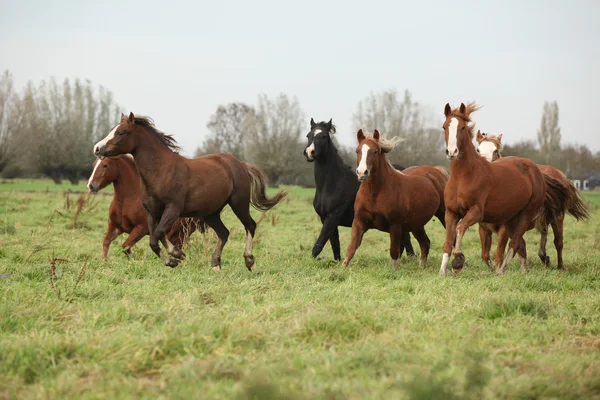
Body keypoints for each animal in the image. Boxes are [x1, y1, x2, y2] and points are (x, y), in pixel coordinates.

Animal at [95, 112, 288, 272]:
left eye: (121, 132)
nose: (97, 148)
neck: (161, 171)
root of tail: (239, 164)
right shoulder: (151, 212)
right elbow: (154, 240)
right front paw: (173, 259)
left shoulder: (173, 209)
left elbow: (159, 233)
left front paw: (177, 255)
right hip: (211, 213)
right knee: (224, 233)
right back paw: (215, 264)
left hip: (238, 204)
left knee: (250, 226)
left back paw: (249, 261)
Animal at [302, 118, 414, 262]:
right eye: (308, 135)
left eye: (324, 136)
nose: (309, 152)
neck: (333, 183)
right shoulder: (326, 218)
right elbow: (335, 245)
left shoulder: (332, 217)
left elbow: (318, 245)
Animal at [340, 130, 448, 270]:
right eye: (357, 151)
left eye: (375, 151)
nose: (362, 173)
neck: (375, 194)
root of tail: (438, 171)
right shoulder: (359, 221)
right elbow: (351, 248)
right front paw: (343, 268)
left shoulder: (395, 225)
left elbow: (394, 252)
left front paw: (395, 271)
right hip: (417, 224)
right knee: (425, 243)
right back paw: (421, 268)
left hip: (444, 215)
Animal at [440, 101, 564, 274]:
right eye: (444, 127)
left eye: (463, 127)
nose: (452, 151)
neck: (463, 176)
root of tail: (537, 171)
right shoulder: (451, 213)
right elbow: (448, 241)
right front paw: (443, 271)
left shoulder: (477, 212)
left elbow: (461, 228)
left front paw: (458, 260)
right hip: (512, 218)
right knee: (521, 244)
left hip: (529, 214)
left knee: (519, 243)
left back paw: (504, 270)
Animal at [478, 131, 592, 268]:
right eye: (478, 149)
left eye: (495, 151)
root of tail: (558, 173)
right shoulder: (484, 229)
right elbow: (486, 256)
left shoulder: (504, 230)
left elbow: (501, 254)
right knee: (543, 232)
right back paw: (543, 256)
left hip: (558, 218)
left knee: (558, 242)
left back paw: (560, 266)